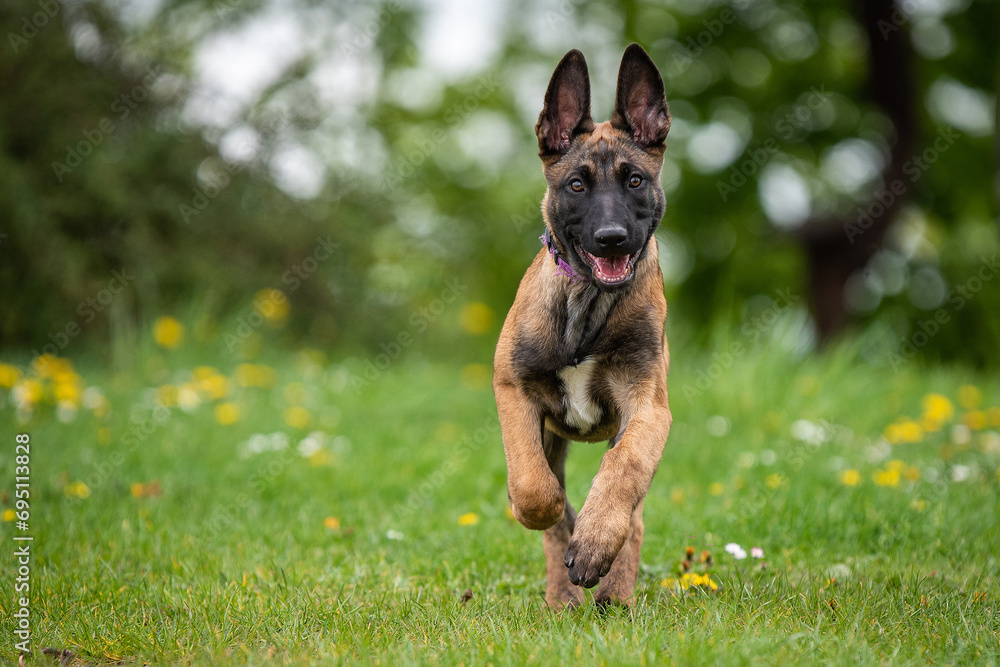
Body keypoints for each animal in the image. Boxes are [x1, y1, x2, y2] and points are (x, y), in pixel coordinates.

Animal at [492, 44, 672, 608]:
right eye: (576, 184)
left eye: (634, 180)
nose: (612, 238)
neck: (588, 304)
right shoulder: (514, 389)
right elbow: (534, 489)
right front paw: (553, 518)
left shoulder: (649, 409)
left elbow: (622, 472)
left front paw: (594, 543)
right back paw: (560, 595)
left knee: (633, 513)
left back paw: (614, 590)